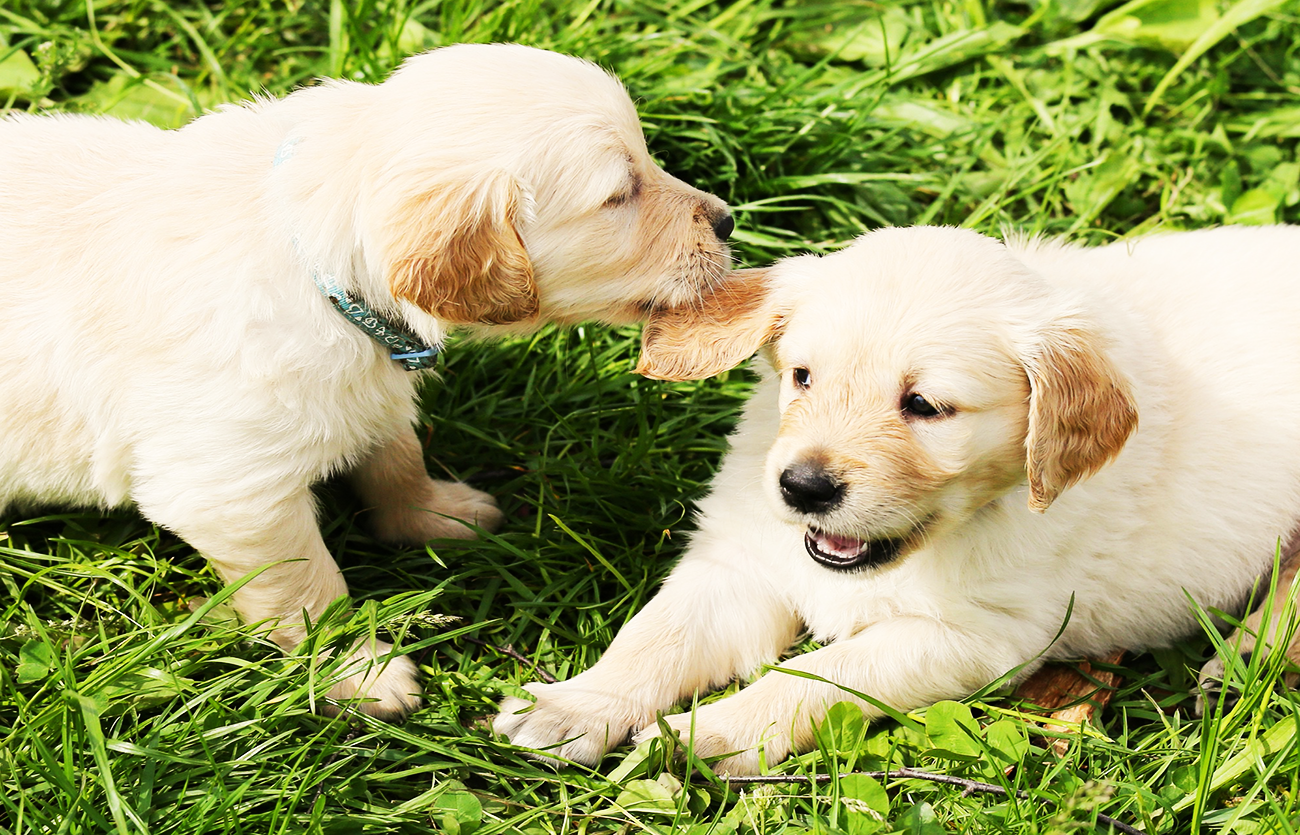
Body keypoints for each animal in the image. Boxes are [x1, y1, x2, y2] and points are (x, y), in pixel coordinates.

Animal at [0, 40, 733, 717]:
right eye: (619, 194)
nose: (728, 220)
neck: (319, 267)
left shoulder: (374, 387)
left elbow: (397, 457)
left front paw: (434, 514)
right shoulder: (231, 493)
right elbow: (307, 592)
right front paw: (356, 672)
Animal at [493, 223, 1300, 769]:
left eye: (926, 407)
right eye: (803, 377)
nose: (803, 487)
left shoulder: (977, 636)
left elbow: (823, 674)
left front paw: (712, 733)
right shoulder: (741, 562)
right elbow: (654, 636)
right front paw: (575, 705)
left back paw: (1243, 662)